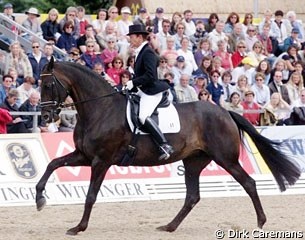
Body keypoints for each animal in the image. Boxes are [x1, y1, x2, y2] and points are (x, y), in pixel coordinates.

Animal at [36, 59, 300, 235]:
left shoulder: (101, 160)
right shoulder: (83, 155)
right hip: (194, 161)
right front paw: (39, 199)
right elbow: (52, 164)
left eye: (48, 85)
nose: (46, 117)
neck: (100, 109)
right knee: (192, 196)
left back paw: (261, 222)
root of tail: (225, 112)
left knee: (248, 183)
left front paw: (79, 227)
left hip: (225, 158)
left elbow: (90, 195)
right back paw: (169, 226)